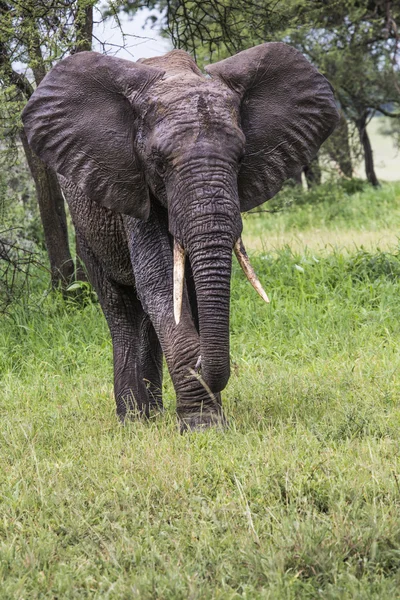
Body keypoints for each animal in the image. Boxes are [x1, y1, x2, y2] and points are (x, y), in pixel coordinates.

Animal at [21, 42, 340, 432]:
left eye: (241, 157)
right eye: (158, 162)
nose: (204, 364)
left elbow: (185, 293)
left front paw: (207, 415)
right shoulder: (134, 186)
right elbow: (159, 282)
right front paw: (202, 424)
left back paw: (153, 412)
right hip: (87, 231)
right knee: (121, 309)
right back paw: (134, 419)